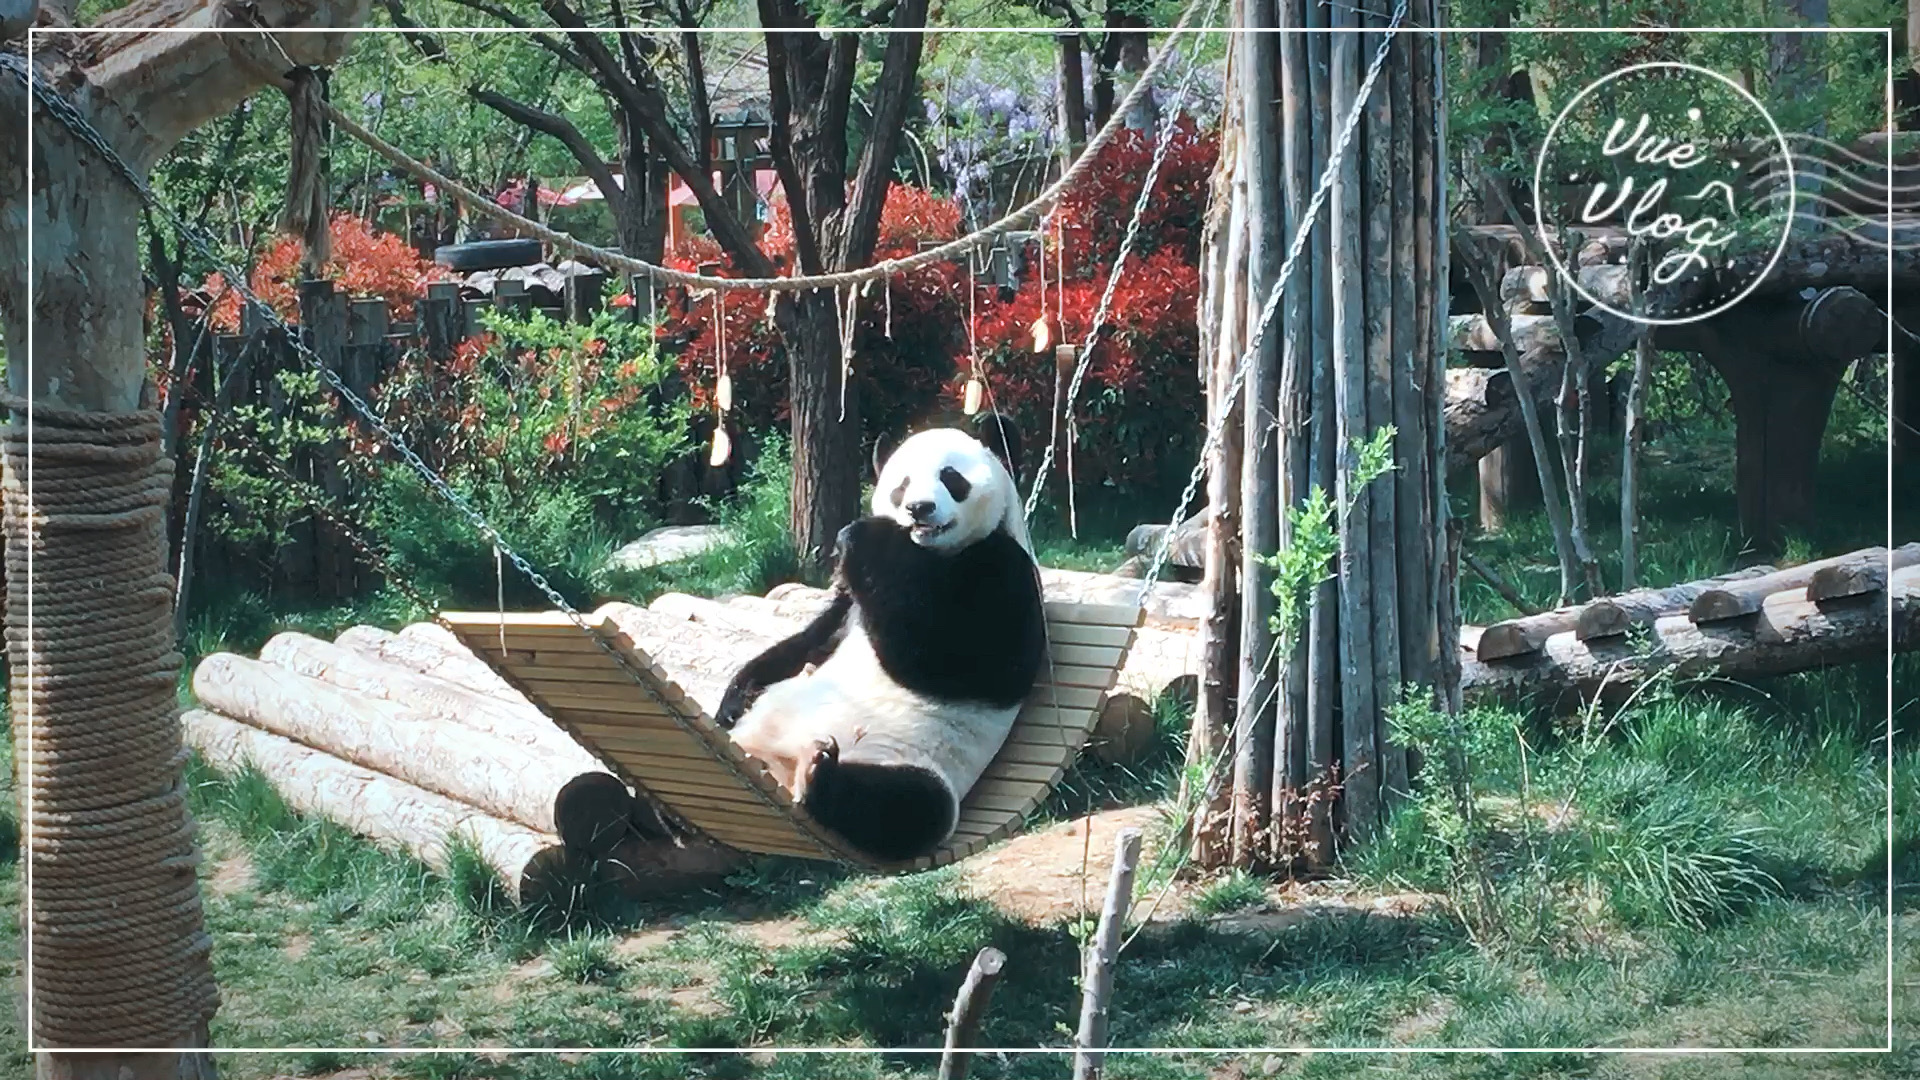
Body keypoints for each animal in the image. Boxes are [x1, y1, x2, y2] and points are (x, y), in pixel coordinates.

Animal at [718, 424, 1052, 853]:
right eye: (902, 484)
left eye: (951, 478)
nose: (919, 508)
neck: (930, 553)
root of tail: (777, 766)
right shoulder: (850, 606)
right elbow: (813, 638)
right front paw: (732, 700)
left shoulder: (1004, 570)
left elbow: (962, 661)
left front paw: (860, 535)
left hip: (909, 761)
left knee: (906, 807)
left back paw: (819, 777)